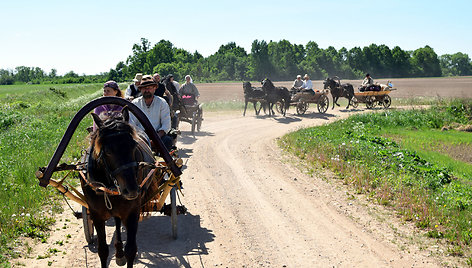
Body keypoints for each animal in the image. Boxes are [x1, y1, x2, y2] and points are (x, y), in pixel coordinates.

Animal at [85, 108, 156, 266]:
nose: (131, 189)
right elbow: (103, 250)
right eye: (107, 151)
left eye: (133, 146)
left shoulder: (132, 212)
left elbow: (131, 249)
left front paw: (125, 253)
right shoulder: (96, 215)